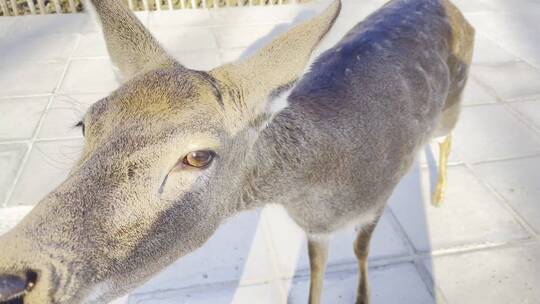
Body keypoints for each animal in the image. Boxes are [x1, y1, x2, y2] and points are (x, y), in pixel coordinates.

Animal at [0, 0, 472, 302]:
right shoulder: (314, 229)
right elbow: (317, 265)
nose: (10, 283)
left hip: (450, 108)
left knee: (448, 137)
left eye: (198, 156)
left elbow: (360, 252)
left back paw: (439, 195)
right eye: (86, 123)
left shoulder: (379, 197)